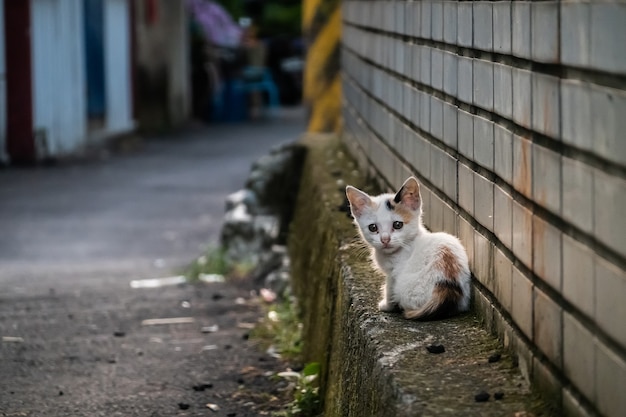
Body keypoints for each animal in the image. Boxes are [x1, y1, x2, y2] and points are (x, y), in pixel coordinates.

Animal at [346, 176, 468, 318]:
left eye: (397, 225)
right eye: (373, 227)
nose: (385, 239)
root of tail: (447, 287)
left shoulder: (393, 274)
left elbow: (389, 288)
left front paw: (386, 305)